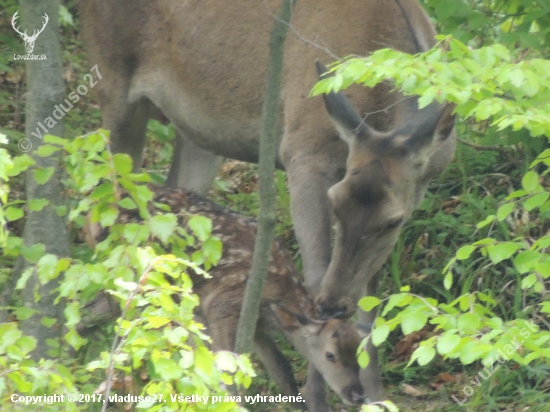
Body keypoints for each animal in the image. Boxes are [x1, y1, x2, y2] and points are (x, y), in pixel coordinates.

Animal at [83, 187, 366, 408]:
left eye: (360, 352)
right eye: (330, 355)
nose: (358, 395)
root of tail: (92, 213)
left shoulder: (256, 324)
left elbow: (282, 372)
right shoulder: (223, 305)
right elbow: (226, 371)